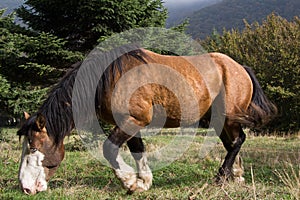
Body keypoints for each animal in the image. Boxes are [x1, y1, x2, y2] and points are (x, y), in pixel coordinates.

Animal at [16, 46, 276, 194]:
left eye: (34, 148)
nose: (26, 188)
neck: (109, 77)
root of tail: (239, 67)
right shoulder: (130, 122)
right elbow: (137, 149)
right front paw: (143, 182)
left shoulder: (133, 120)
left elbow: (109, 149)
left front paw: (130, 182)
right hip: (221, 120)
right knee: (232, 143)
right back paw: (236, 175)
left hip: (228, 117)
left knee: (237, 141)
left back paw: (221, 177)